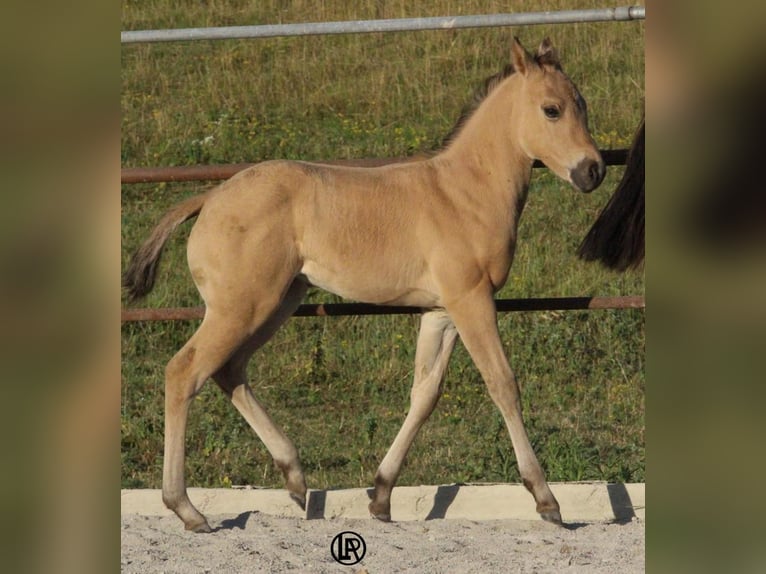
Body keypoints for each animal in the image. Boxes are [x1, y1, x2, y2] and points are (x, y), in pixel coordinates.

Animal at [123, 37, 605, 532]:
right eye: (551, 109)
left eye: (582, 105)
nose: (594, 171)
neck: (463, 192)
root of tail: (211, 198)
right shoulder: (471, 300)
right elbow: (503, 383)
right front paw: (547, 501)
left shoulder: (440, 312)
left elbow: (424, 394)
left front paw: (382, 496)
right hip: (243, 307)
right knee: (183, 372)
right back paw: (187, 508)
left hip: (276, 303)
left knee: (229, 369)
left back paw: (295, 479)